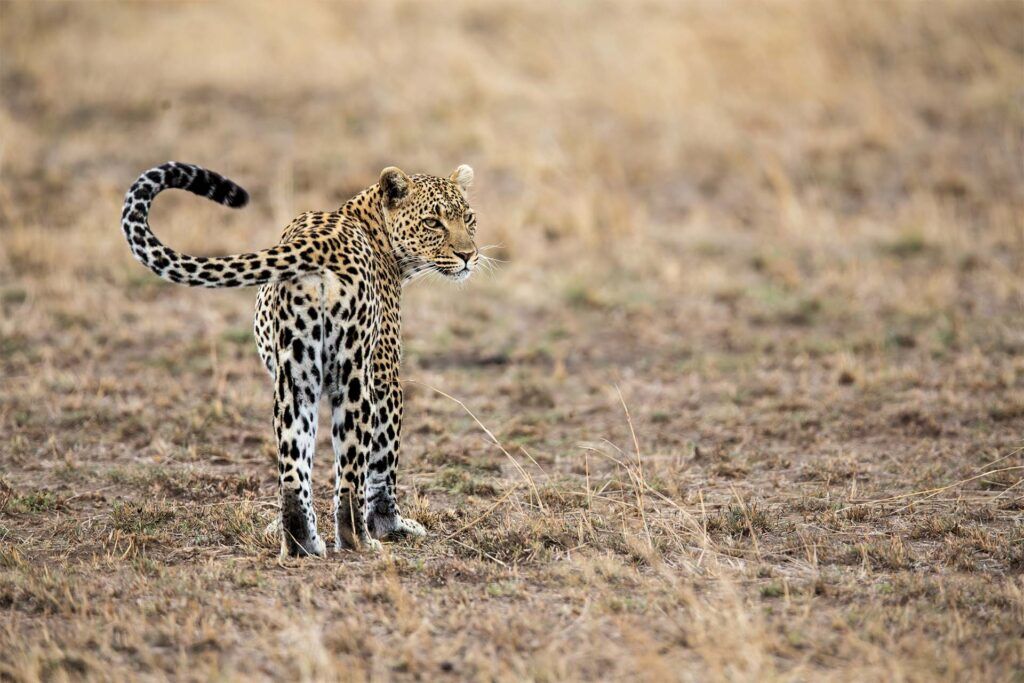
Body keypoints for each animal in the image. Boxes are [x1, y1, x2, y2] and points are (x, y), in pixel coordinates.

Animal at [120, 161, 479, 557]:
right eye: (433, 222)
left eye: (469, 218)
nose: (469, 256)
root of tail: (321, 245)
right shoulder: (386, 377)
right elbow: (385, 462)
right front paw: (392, 524)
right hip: (353, 376)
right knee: (350, 473)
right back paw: (359, 540)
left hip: (295, 377)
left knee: (293, 467)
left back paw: (300, 543)